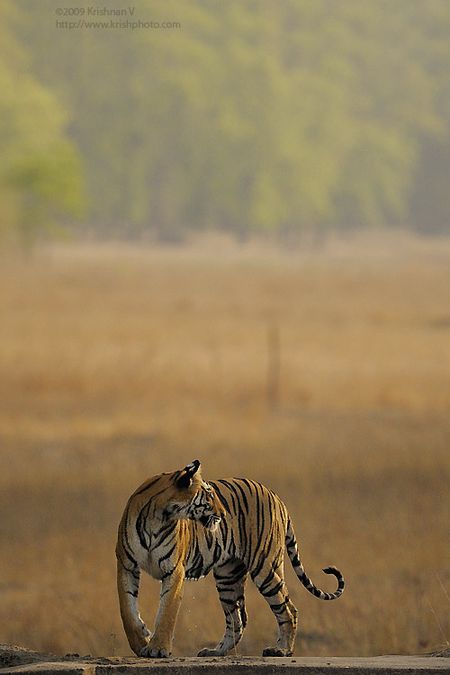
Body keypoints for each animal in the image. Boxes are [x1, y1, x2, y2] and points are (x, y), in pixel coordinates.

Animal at [116, 460, 344, 660]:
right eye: (209, 495)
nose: (224, 513)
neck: (158, 517)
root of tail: (276, 496)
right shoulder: (127, 566)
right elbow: (127, 611)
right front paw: (141, 642)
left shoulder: (174, 570)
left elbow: (167, 612)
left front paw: (157, 648)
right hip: (228, 577)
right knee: (238, 620)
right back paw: (216, 652)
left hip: (265, 568)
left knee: (288, 610)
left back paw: (281, 650)